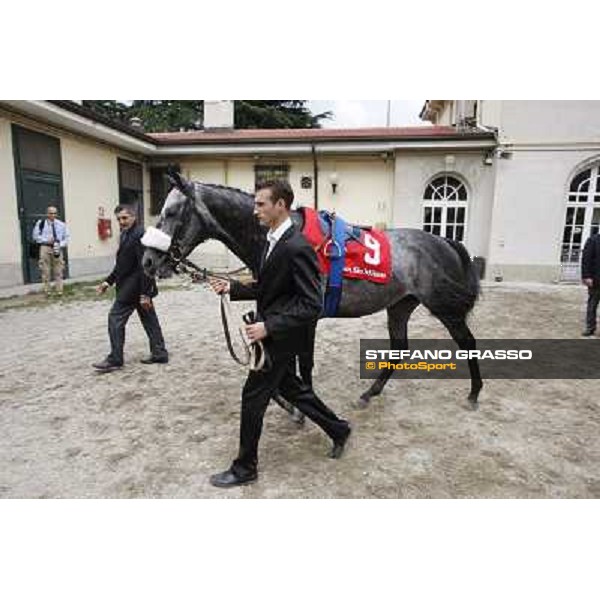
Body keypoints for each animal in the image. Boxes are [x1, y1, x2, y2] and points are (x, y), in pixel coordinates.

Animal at [142, 172, 482, 408]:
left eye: (170, 212)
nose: (147, 260)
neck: (284, 237)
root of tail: (445, 241)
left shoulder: (306, 316)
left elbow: (303, 362)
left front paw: (301, 403)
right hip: (400, 305)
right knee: (399, 348)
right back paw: (369, 393)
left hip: (444, 308)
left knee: (468, 343)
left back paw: (475, 392)